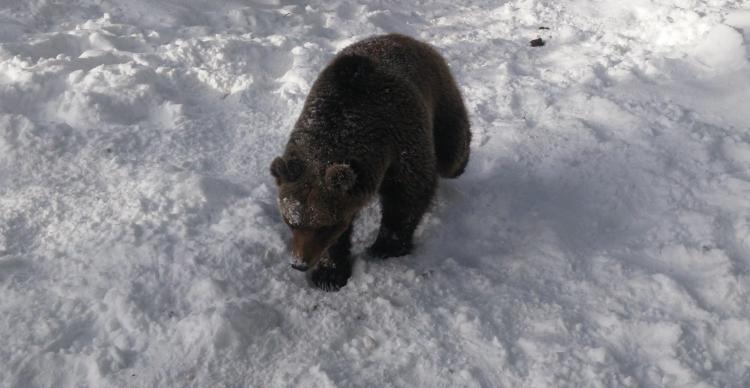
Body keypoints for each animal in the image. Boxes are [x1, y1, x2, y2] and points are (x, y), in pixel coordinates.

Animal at [270, 34, 470, 292]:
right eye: (291, 222)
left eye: (324, 226)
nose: (299, 264)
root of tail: (407, 38)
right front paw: (329, 273)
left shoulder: (402, 139)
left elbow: (409, 194)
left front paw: (386, 246)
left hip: (441, 99)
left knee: (452, 153)